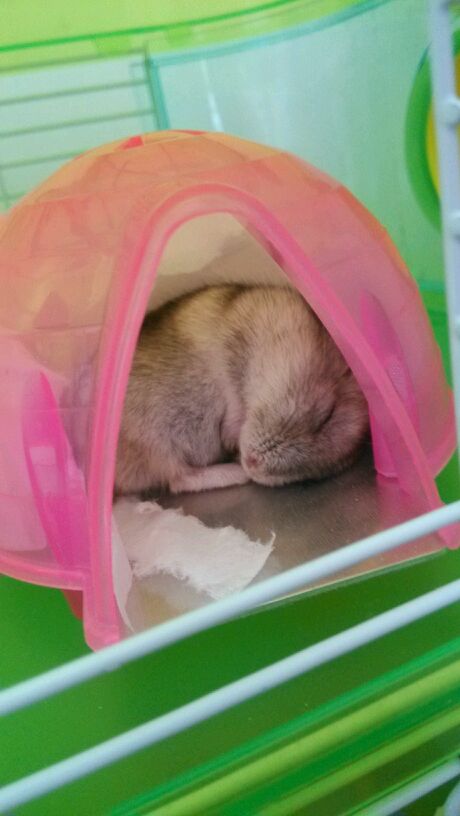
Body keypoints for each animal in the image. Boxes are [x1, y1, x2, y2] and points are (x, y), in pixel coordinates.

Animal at [115, 284, 369, 496]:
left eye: (311, 478)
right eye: (328, 414)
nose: (252, 463)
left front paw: (231, 446)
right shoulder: (228, 351)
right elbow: (232, 401)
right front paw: (229, 439)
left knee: (179, 480)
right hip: (152, 441)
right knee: (178, 477)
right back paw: (237, 472)